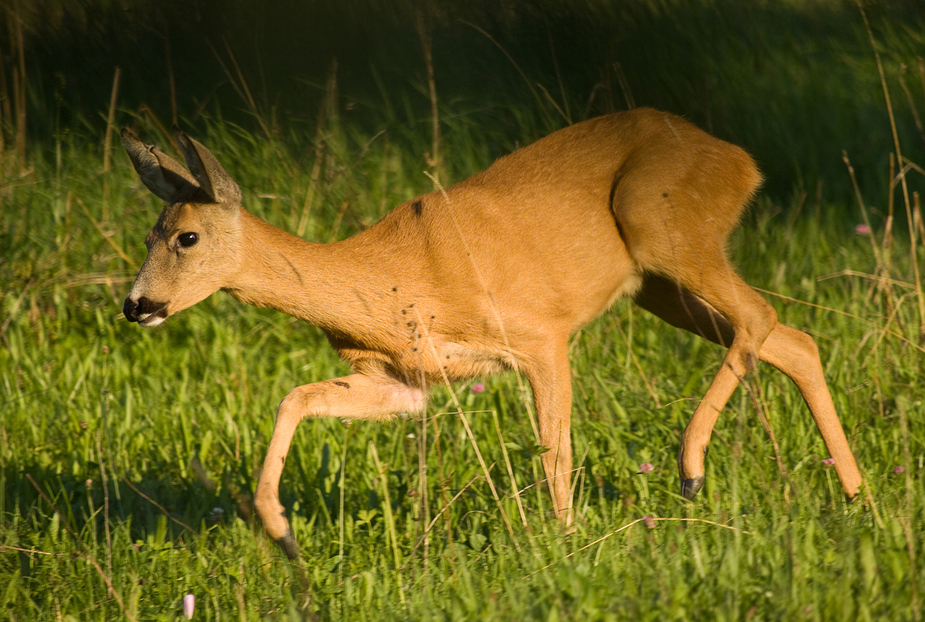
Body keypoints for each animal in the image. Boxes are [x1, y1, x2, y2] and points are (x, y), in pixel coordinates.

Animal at [119, 109, 864, 564]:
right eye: (152, 231)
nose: (136, 304)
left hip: (664, 229)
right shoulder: (403, 382)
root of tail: (740, 159)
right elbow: (295, 397)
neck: (387, 279)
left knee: (760, 318)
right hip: (657, 286)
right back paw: (858, 497)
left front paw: (567, 548)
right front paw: (278, 527)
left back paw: (691, 465)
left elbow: (555, 452)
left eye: (187, 237)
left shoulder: (539, 333)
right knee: (792, 337)